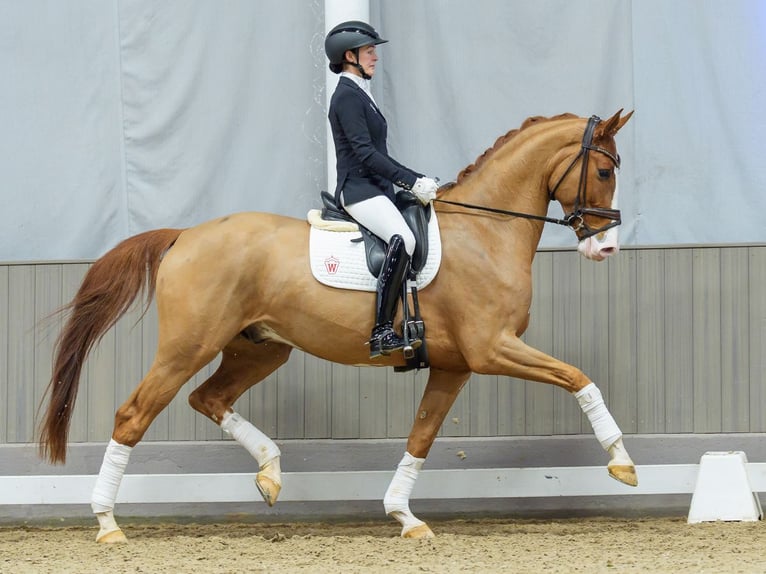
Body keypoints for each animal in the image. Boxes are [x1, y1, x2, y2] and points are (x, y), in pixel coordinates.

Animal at [39, 109, 635, 543]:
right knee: (134, 414)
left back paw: (271, 472)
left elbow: (421, 436)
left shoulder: (455, 365)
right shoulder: (492, 349)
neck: (483, 233)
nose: (605, 248)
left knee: (208, 398)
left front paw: (404, 516)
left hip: (259, 348)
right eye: (605, 171)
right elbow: (580, 379)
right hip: (188, 346)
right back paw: (107, 524)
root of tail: (185, 234)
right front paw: (623, 463)